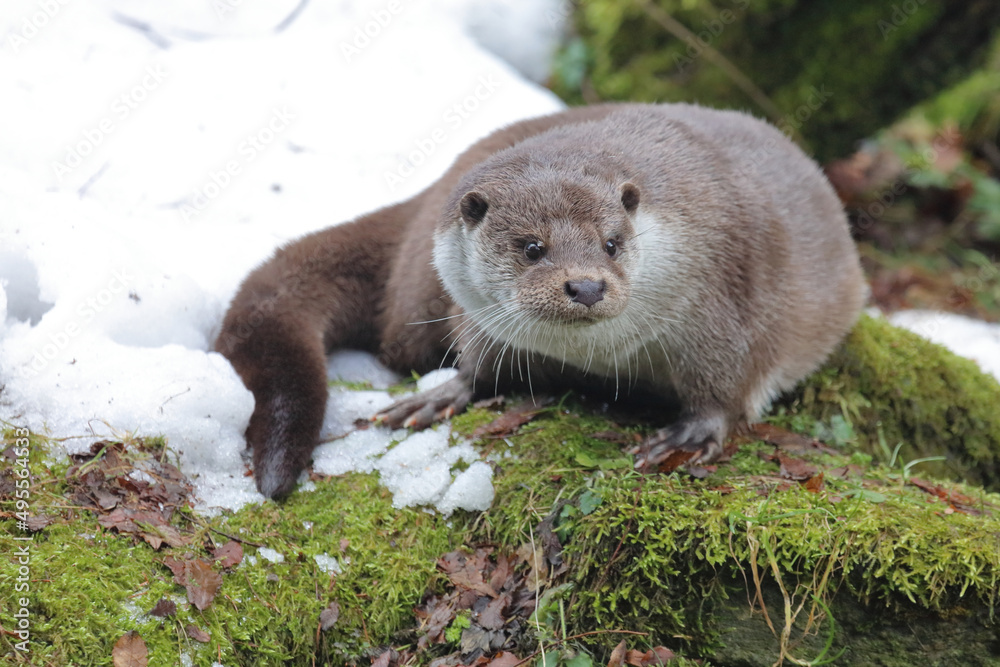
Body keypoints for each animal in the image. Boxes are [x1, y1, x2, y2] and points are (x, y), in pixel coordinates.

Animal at [216, 103, 865, 499]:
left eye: (611, 242)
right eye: (532, 248)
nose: (587, 285)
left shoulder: (727, 300)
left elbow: (729, 384)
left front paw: (688, 435)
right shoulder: (478, 318)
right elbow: (479, 362)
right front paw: (448, 392)